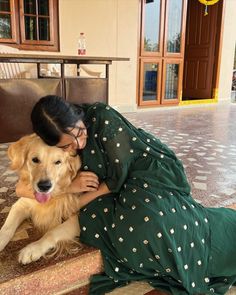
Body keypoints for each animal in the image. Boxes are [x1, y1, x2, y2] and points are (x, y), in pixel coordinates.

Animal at [0, 135, 82, 266]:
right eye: (35, 159)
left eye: (58, 162)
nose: (44, 186)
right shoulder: (20, 205)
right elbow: (6, 228)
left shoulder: (78, 217)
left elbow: (52, 232)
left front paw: (33, 249)